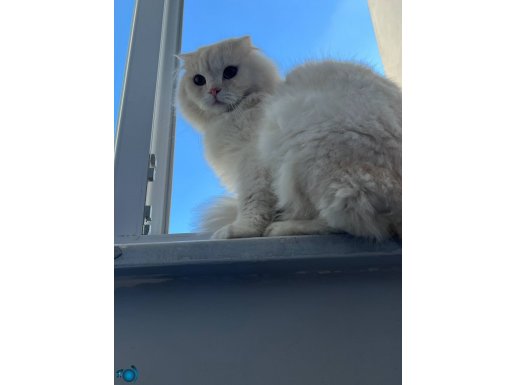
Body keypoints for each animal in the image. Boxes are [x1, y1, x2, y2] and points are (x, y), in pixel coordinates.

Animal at [178, 36, 404, 240]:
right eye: (198, 80)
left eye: (229, 72)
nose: (213, 90)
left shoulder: (252, 164)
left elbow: (252, 205)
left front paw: (239, 231)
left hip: (312, 154)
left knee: (348, 223)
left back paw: (281, 228)